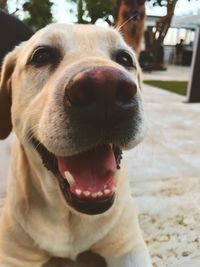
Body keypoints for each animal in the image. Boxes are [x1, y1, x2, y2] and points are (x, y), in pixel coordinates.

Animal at [0, 23, 151, 267]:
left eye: (125, 58)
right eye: (41, 55)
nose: (105, 87)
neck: (68, 213)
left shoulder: (128, 247)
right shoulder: (14, 255)